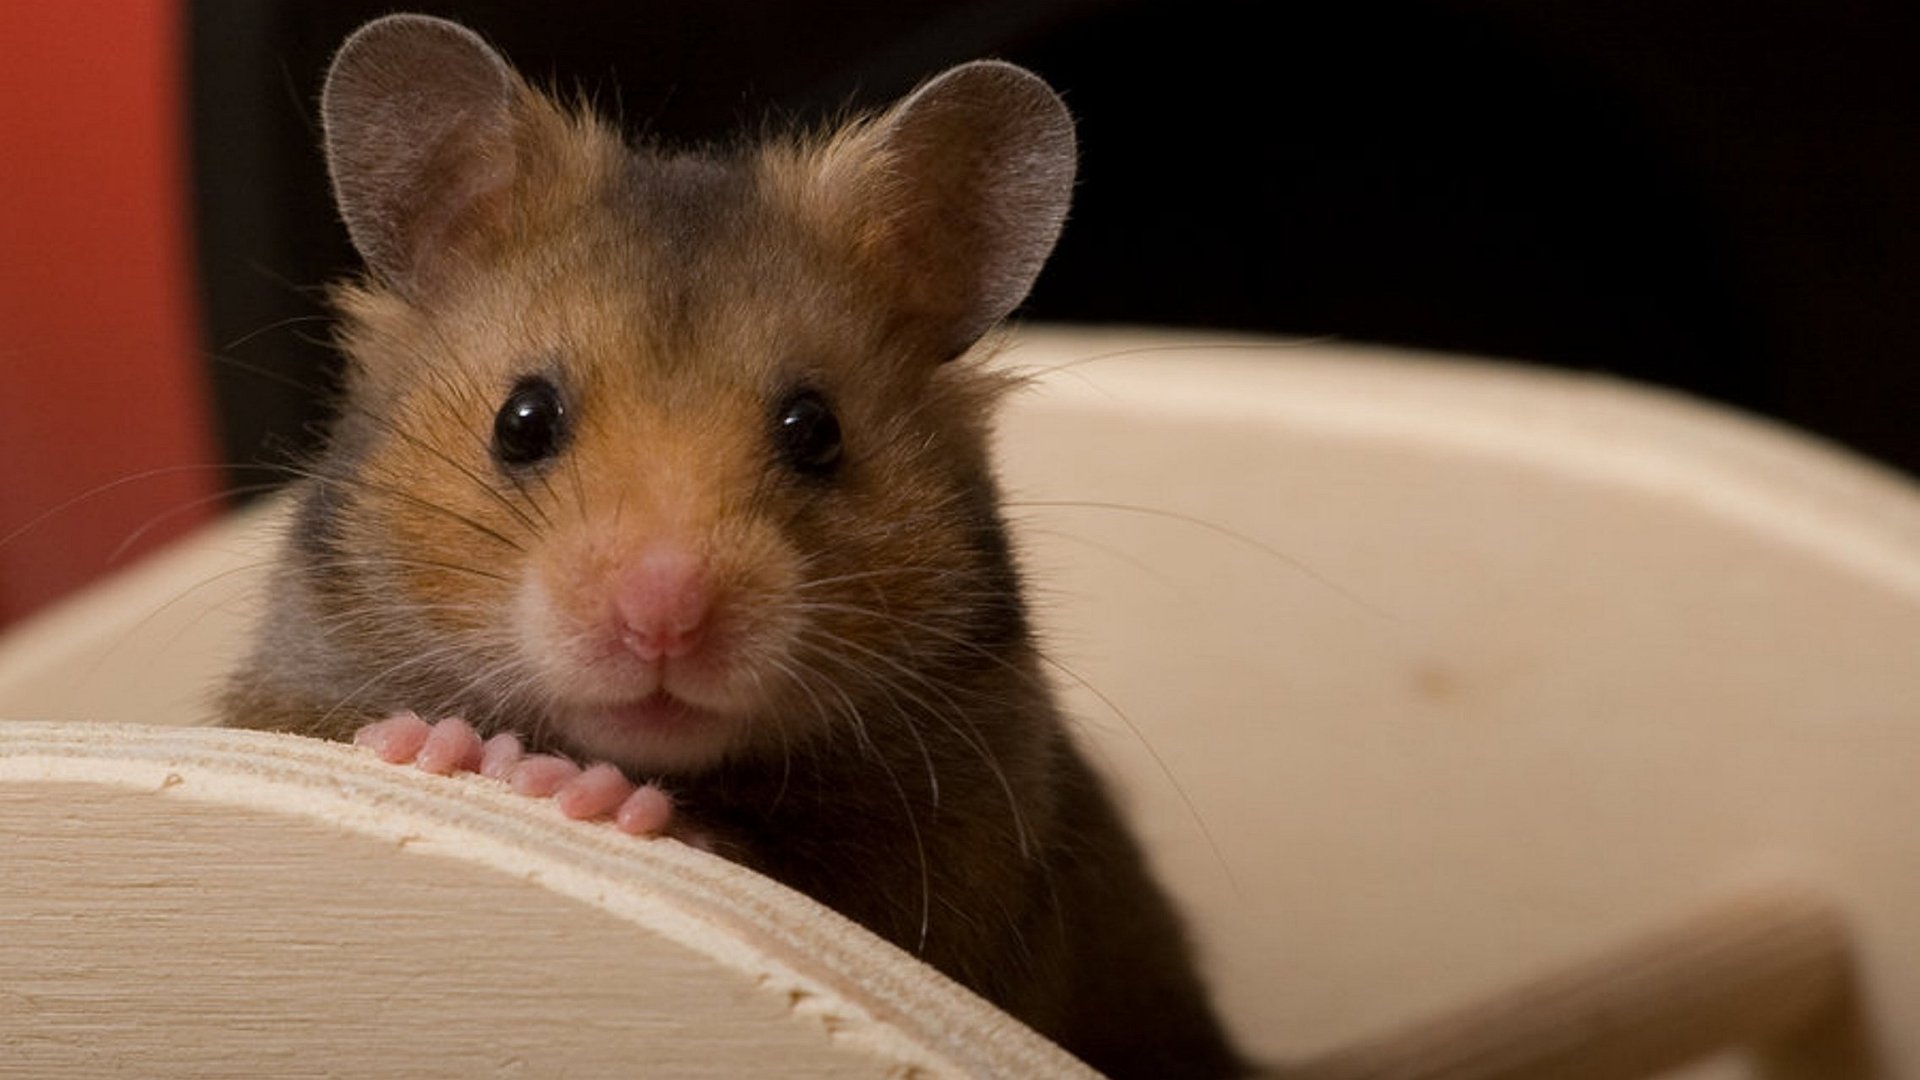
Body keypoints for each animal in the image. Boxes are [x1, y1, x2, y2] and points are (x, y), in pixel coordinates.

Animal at [224, 14, 1246, 1078]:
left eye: (815, 430)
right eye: (522, 419)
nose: (662, 617)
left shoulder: (967, 885)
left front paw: (574, 788)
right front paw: (442, 747)